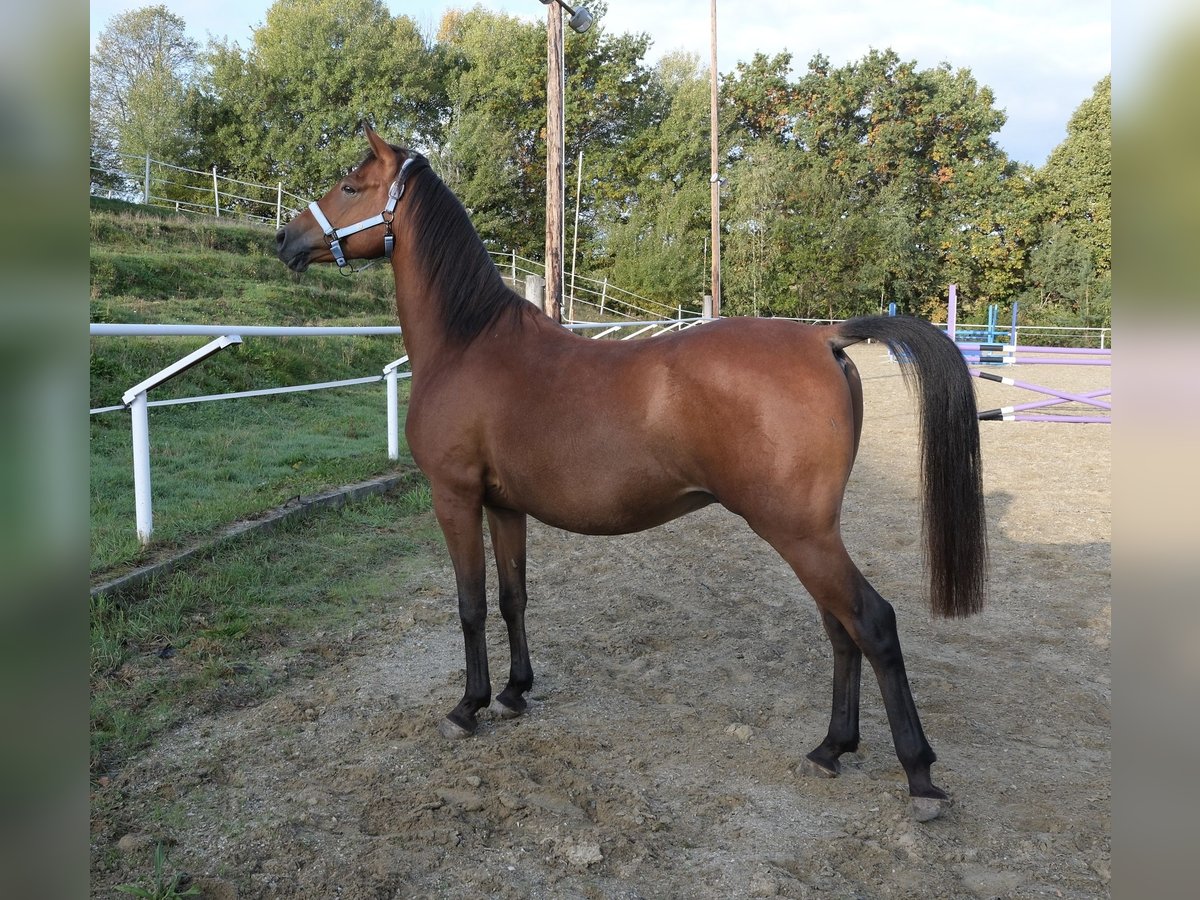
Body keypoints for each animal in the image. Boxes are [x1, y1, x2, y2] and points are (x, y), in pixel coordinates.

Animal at [276, 126, 987, 822]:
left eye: (350, 186)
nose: (286, 238)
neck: (468, 343)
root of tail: (824, 338)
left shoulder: (454, 497)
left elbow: (471, 605)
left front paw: (468, 706)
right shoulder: (505, 505)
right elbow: (512, 598)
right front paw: (514, 693)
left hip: (800, 534)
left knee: (872, 624)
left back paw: (919, 776)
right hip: (809, 536)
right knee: (841, 630)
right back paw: (832, 748)